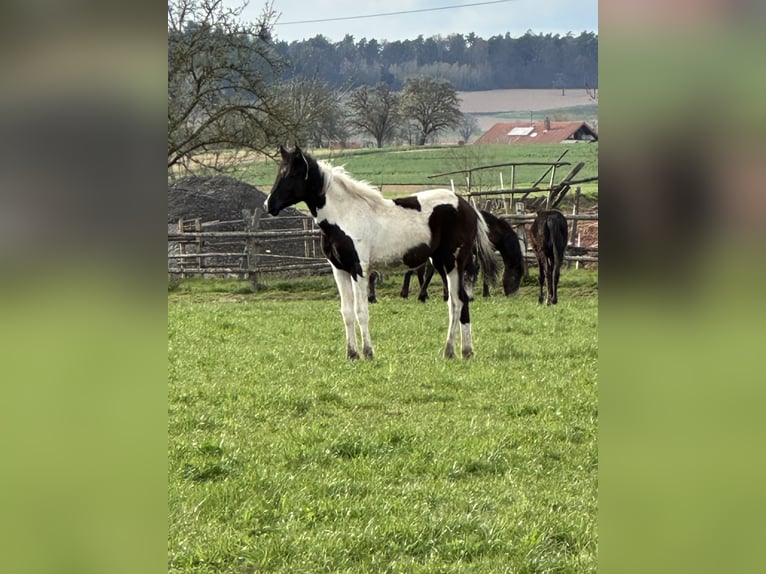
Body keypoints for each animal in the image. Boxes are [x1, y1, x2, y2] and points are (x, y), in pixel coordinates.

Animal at [264, 145, 496, 359]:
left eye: (291, 174)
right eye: (279, 172)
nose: (268, 205)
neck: (345, 215)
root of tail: (467, 206)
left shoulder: (358, 269)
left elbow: (361, 311)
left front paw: (368, 352)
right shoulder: (339, 270)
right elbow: (347, 312)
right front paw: (351, 354)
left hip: (452, 262)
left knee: (457, 301)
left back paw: (455, 351)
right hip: (441, 263)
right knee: (459, 301)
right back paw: (461, 351)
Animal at [394, 210, 524, 302]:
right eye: (515, 276)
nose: (512, 294)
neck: (491, 229)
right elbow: (483, 271)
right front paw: (485, 293)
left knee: (421, 271)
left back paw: (422, 294)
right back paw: (409, 293)